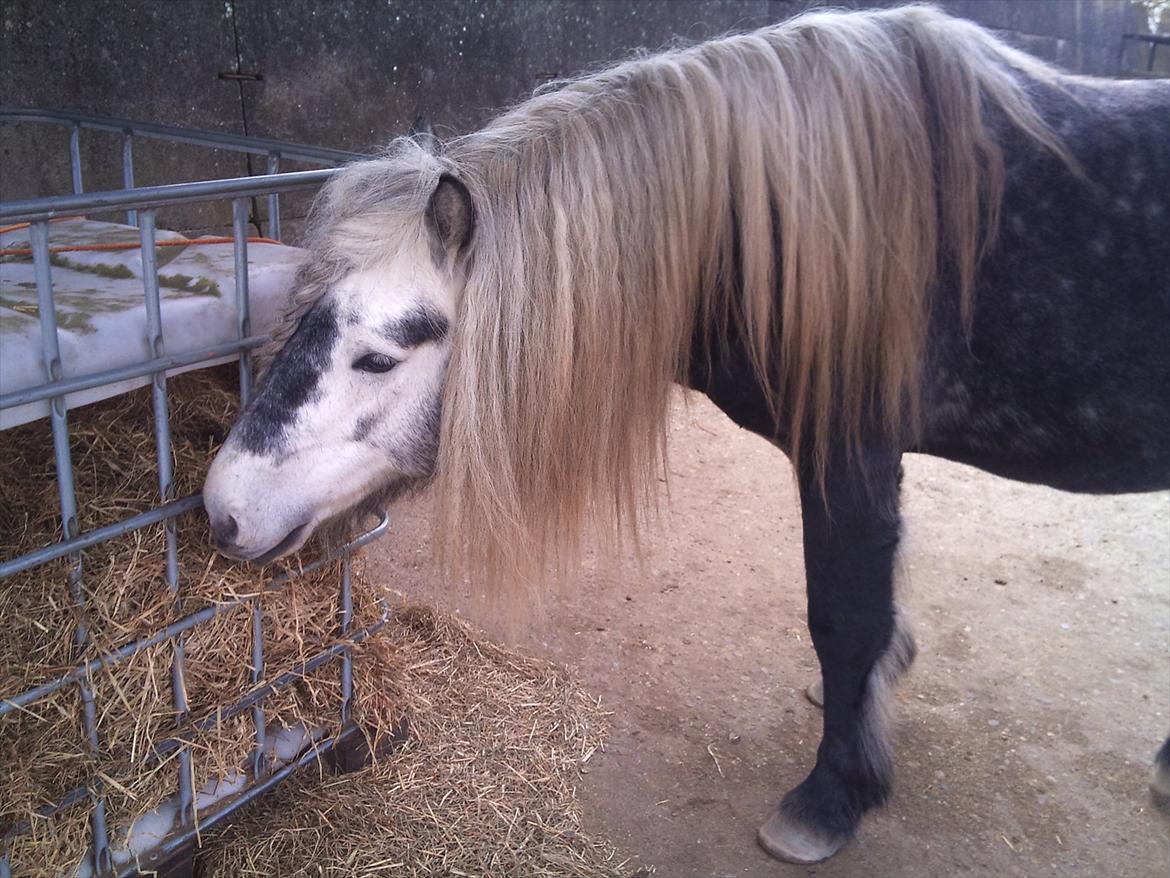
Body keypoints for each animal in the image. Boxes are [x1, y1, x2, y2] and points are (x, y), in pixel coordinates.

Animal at [203, 4, 1170, 864]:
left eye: (376, 357)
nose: (222, 508)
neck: (800, 222)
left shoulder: (849, 454)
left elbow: (846, 618)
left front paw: (830, 798)